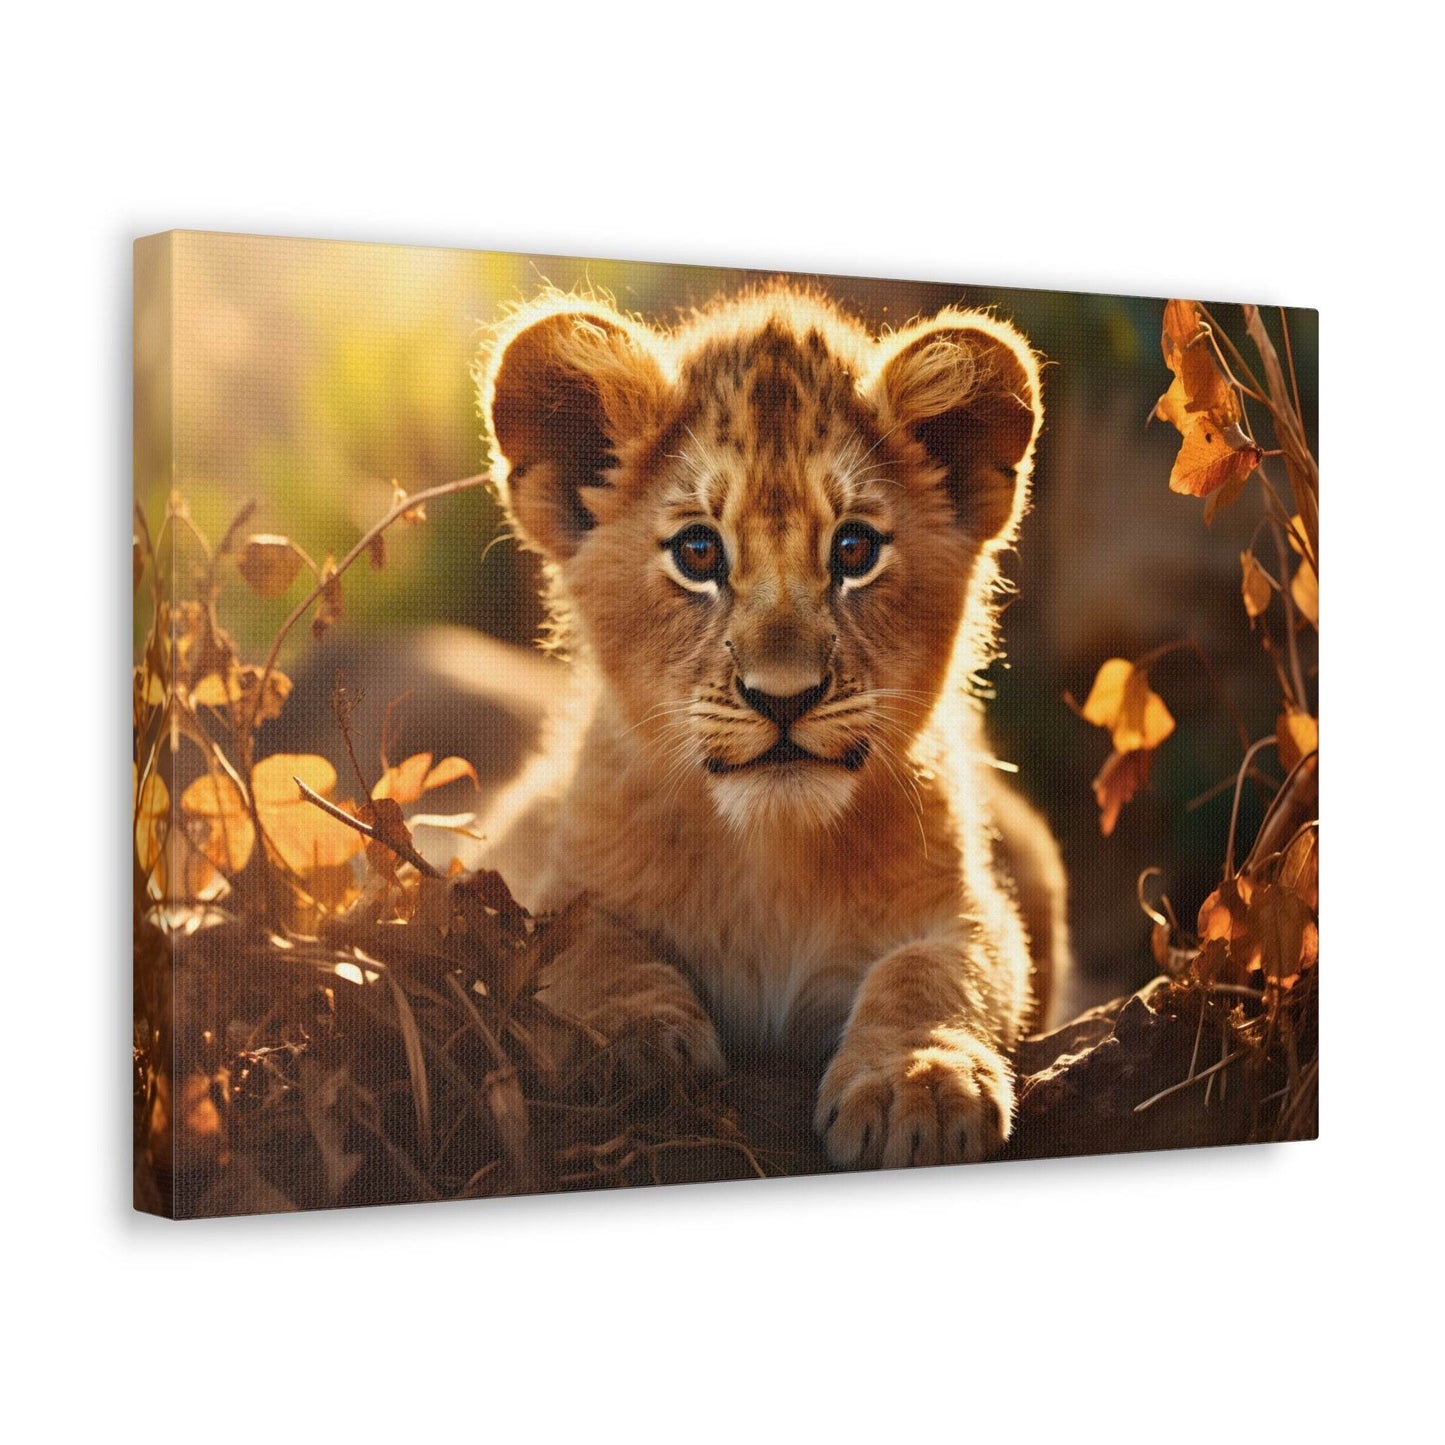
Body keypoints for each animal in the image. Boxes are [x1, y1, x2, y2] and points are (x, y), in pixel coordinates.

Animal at [473, 283, 1068, 1169]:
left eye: (854, 549)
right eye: (697, 552)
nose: (783, 697)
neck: (770, 854)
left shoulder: (965, 903)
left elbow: (936, 970)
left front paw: (917, 1080)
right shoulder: (543, 877)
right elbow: (586, 946)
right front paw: (630, 1043)